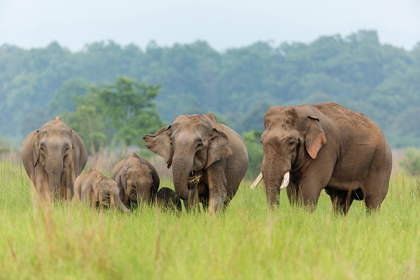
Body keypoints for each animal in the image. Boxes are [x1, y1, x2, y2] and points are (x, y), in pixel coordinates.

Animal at [251, 103, 392, 214]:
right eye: (262, 141)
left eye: (291, 142)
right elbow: (292, 190)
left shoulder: (326, 149)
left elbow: (310, 187)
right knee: (340, 200)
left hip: (381, 162)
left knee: (373, 201)